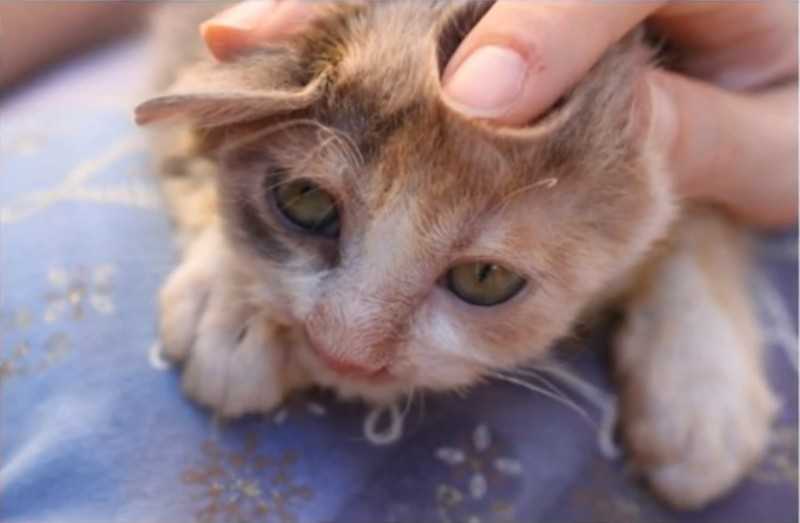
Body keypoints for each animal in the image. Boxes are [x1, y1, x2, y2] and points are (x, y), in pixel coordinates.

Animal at [136, 0, 776, 508]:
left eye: (485, 278)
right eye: (306, 201)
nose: (345, 354)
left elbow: (702, 204)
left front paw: (701, 388)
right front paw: (232, 303)